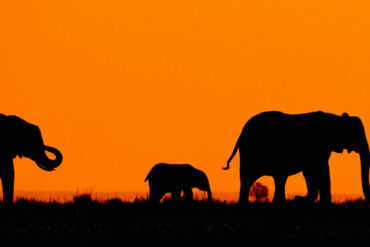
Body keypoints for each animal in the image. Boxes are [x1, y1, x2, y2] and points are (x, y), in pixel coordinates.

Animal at [223, 111, 370, 205]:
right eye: (357, 135)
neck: (336, 119)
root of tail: (241, 133)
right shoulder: (319, 147)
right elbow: (321, 171)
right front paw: (300, 199)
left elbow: (310, 172)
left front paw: (299, 199)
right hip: (250, 153)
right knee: (249, 179)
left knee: (276, 179)